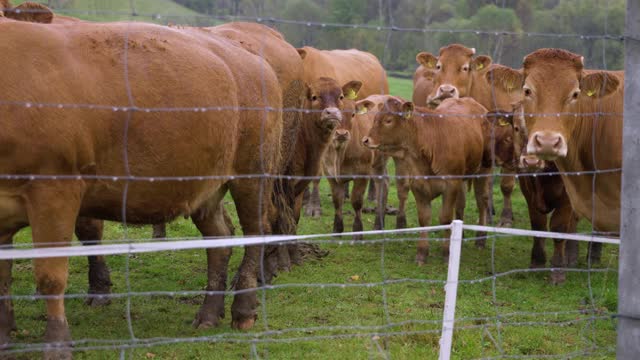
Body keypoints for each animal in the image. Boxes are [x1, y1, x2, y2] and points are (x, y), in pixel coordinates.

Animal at [0, 17, 290, 354]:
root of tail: (247, 54)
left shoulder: (55, 191)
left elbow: (51, 276)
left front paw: (57, 345)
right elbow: (3, 276)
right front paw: (4, 337)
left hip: (253, 175)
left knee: (256, 232)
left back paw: (243, 310)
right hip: (205, 184)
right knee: (220, 238)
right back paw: (208, 313)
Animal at [362, 96, 488, 264]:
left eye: (388, 120)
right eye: (375, 118)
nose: (366, 140)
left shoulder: (450, 185)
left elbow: (445, 218)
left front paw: (447, 253)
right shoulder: (418, 185)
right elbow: (424, 219)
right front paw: (422, 253)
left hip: (484, 169)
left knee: (482, 201)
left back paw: (481, 240)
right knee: (461, 205)